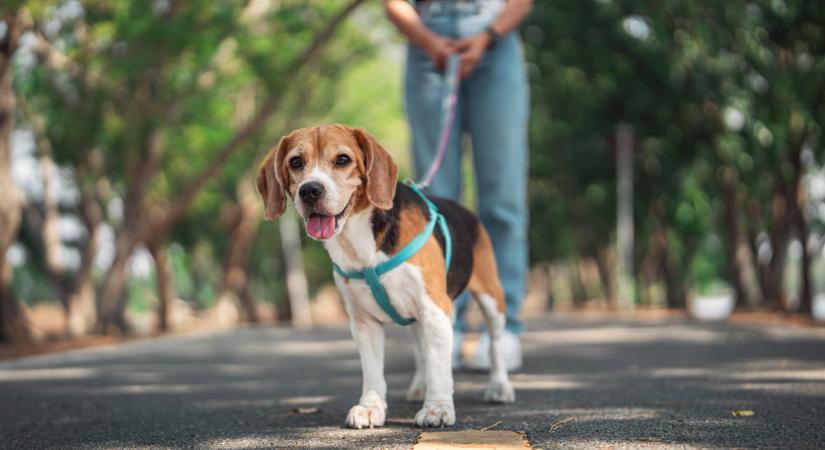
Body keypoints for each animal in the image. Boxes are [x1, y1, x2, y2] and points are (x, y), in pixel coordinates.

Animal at [258, 124, 512, 428]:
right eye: (295, 162)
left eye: (342, 160)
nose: (310, 191)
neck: (359, 241)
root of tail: (465, 210)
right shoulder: (364, 322)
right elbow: (373, 371)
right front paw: (371, 408)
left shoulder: (434, 309)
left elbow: (439, 365)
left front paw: (437, 408)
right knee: (422, 348)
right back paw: (420, 386)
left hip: (490, 299)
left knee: (495, 344)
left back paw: (499, 387)